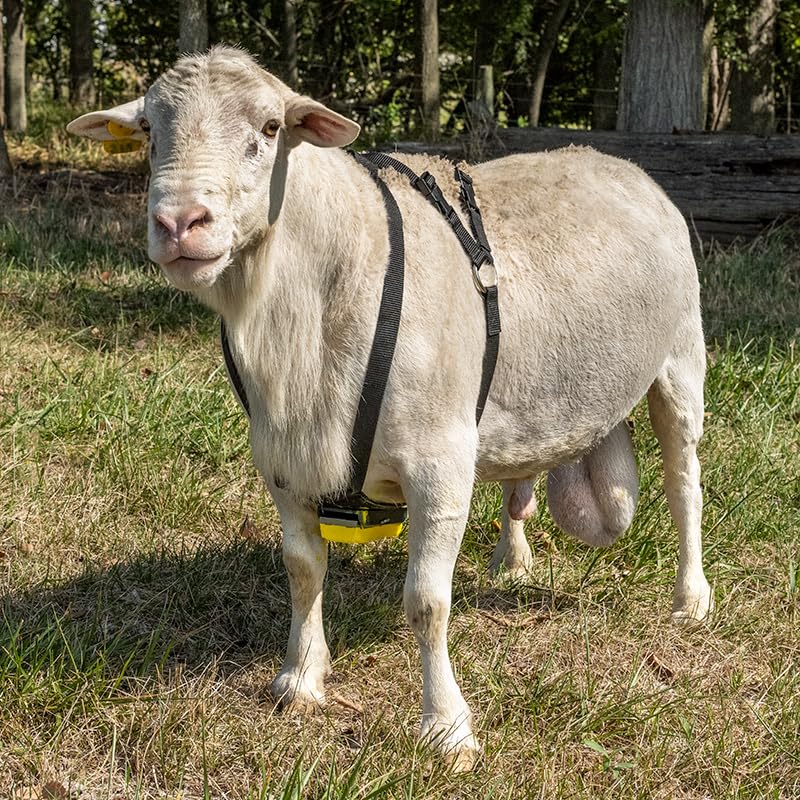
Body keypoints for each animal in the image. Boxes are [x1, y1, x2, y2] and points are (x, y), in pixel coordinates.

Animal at [67, 46, 713, 771]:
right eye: (150, 131)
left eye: (269, 128)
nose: (179, 224)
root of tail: (622, 163)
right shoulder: (284, 457)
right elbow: (302, 570)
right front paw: (301, 678)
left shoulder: (438, 465)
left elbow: (427, 603)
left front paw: (447, 727)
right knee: (519, 478)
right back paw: (512, 559)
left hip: (681, 359)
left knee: (684, 483)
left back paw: (690, 598)